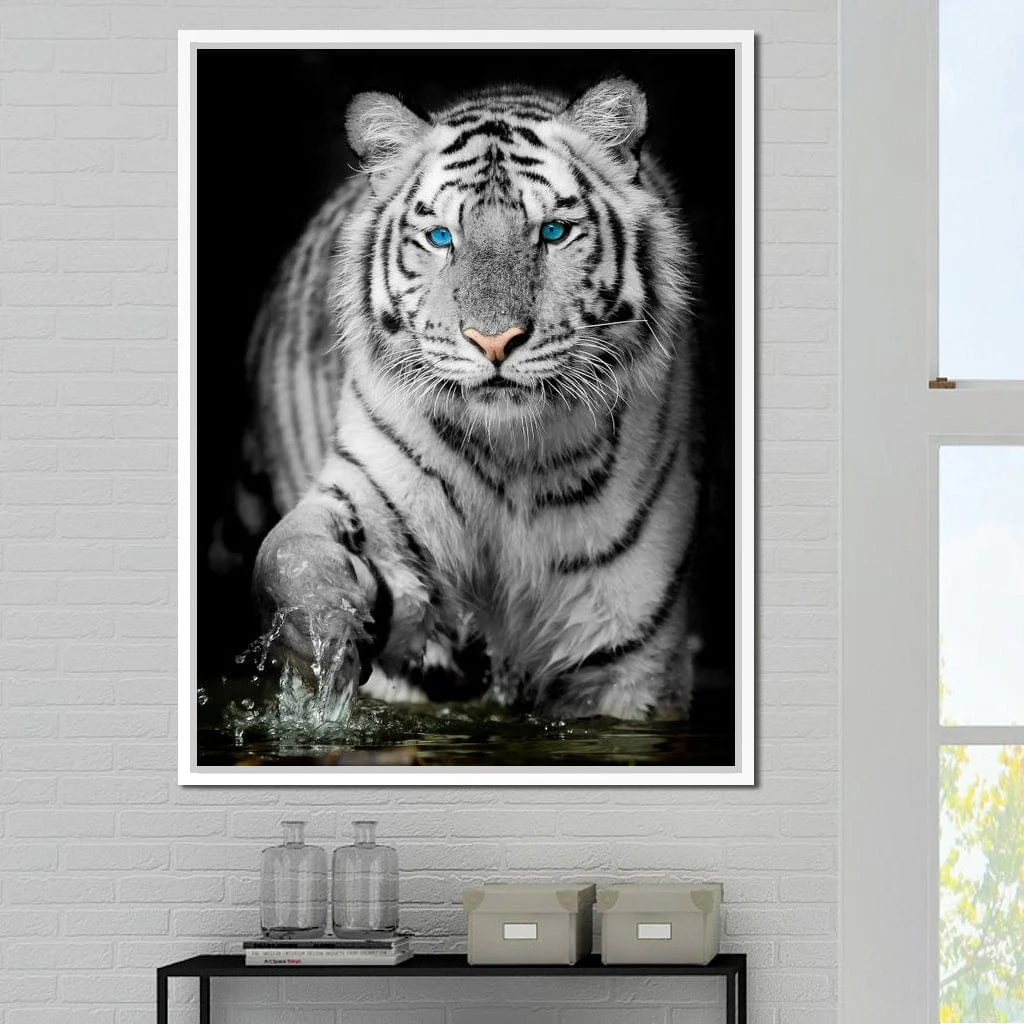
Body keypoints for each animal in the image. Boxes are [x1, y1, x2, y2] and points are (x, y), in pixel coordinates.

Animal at [242, 77, 700, 722]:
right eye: (441, 238)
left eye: (552, 233)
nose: (494, 340)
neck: (514, 457)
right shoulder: (373, 498)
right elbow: (291, 554)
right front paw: (324, 633)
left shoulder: (630, 655)